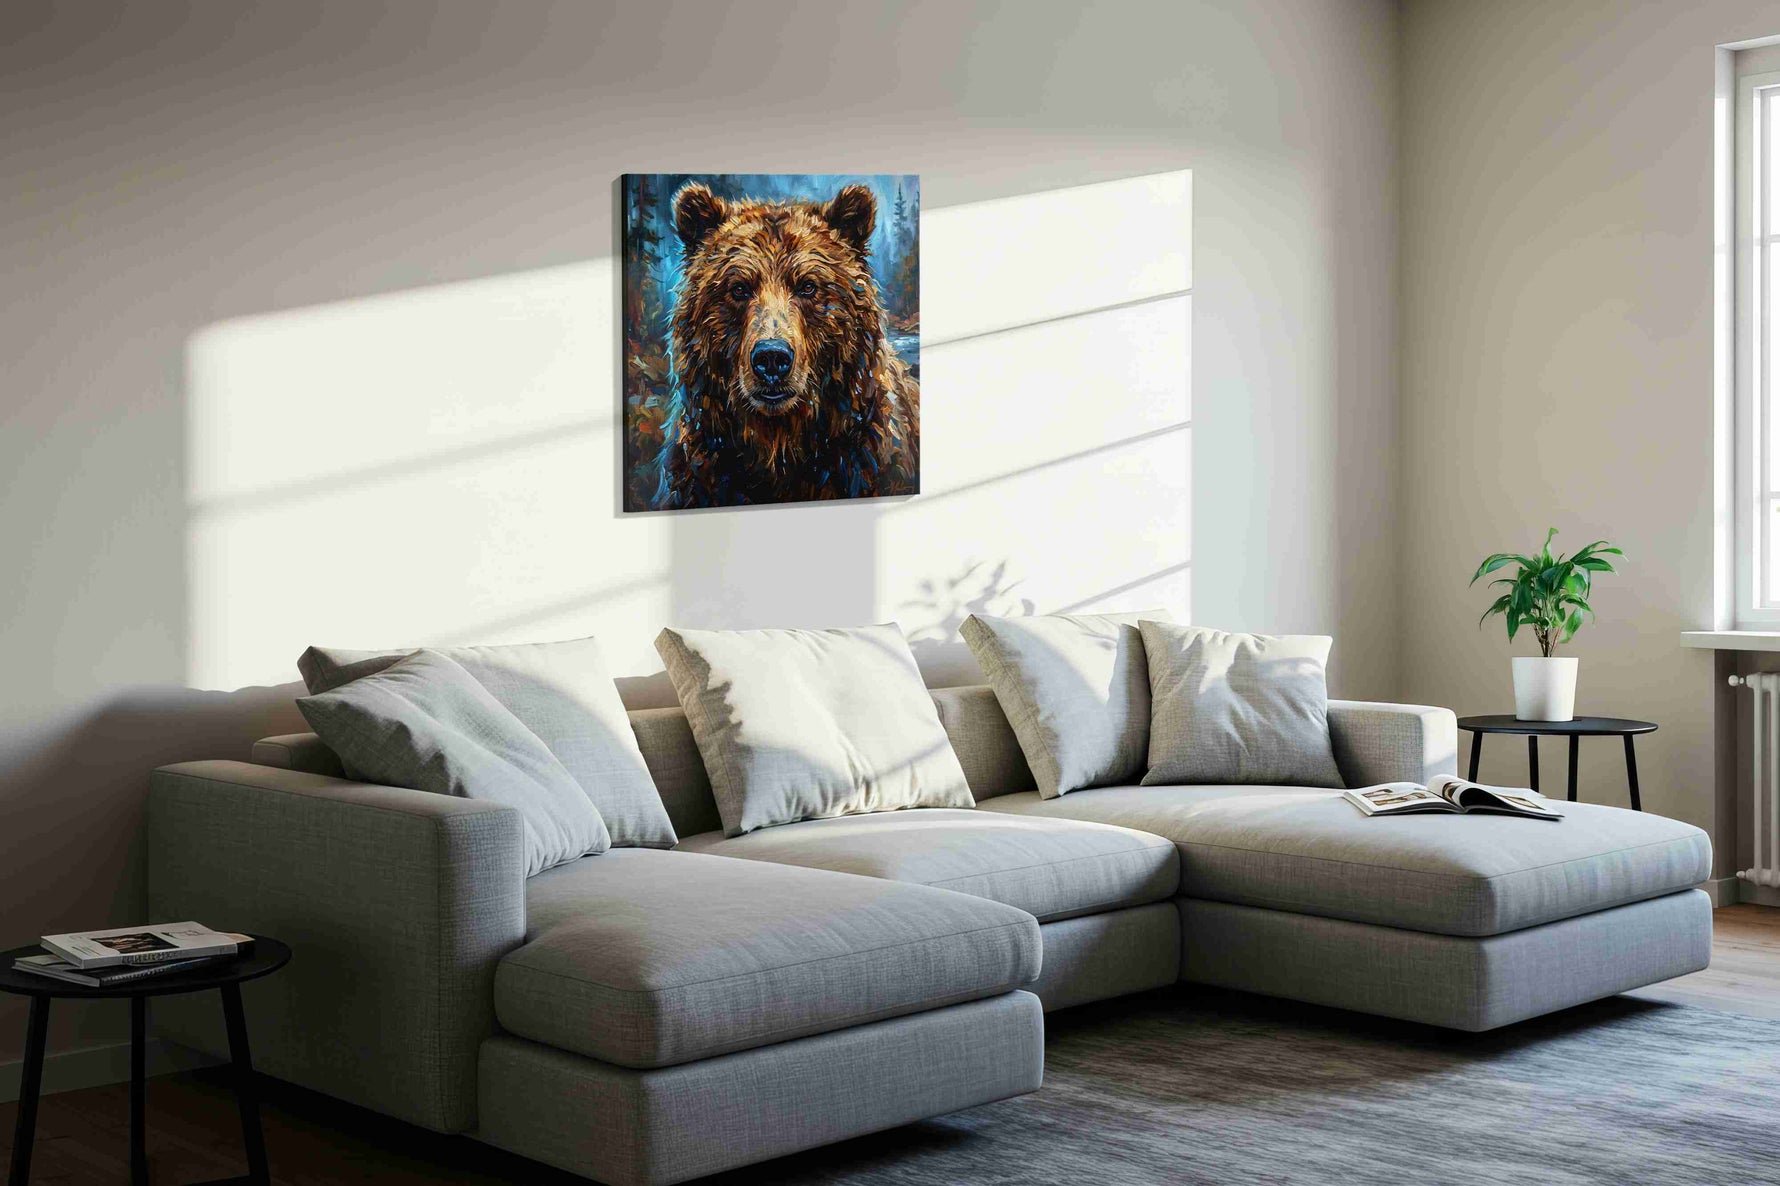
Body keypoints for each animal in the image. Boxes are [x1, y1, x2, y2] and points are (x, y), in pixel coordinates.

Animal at [654, 181, 919, 509]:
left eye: (808, 286)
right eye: (738, 288)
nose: (771, 358)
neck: (779, 444)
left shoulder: (864, 460)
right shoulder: (701, 474)